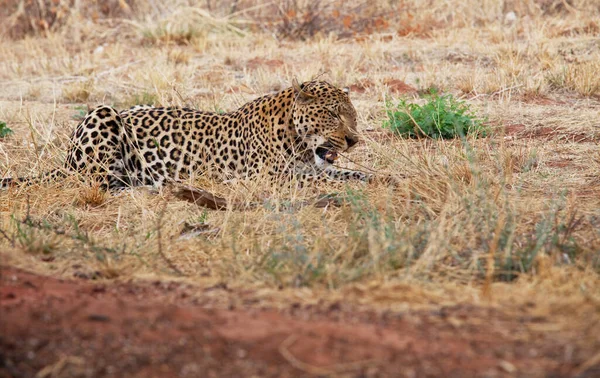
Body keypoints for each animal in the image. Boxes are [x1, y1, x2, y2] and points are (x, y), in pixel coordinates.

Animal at [2, 81, 376, 190]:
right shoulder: (270, 177)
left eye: (353, 115)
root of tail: (65, 162)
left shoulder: (312, 166)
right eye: (332, 114)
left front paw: (382, 178)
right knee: (100, 182)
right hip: (103, 114)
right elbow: (323, 179)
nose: (353, 140)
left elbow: (348, 173)